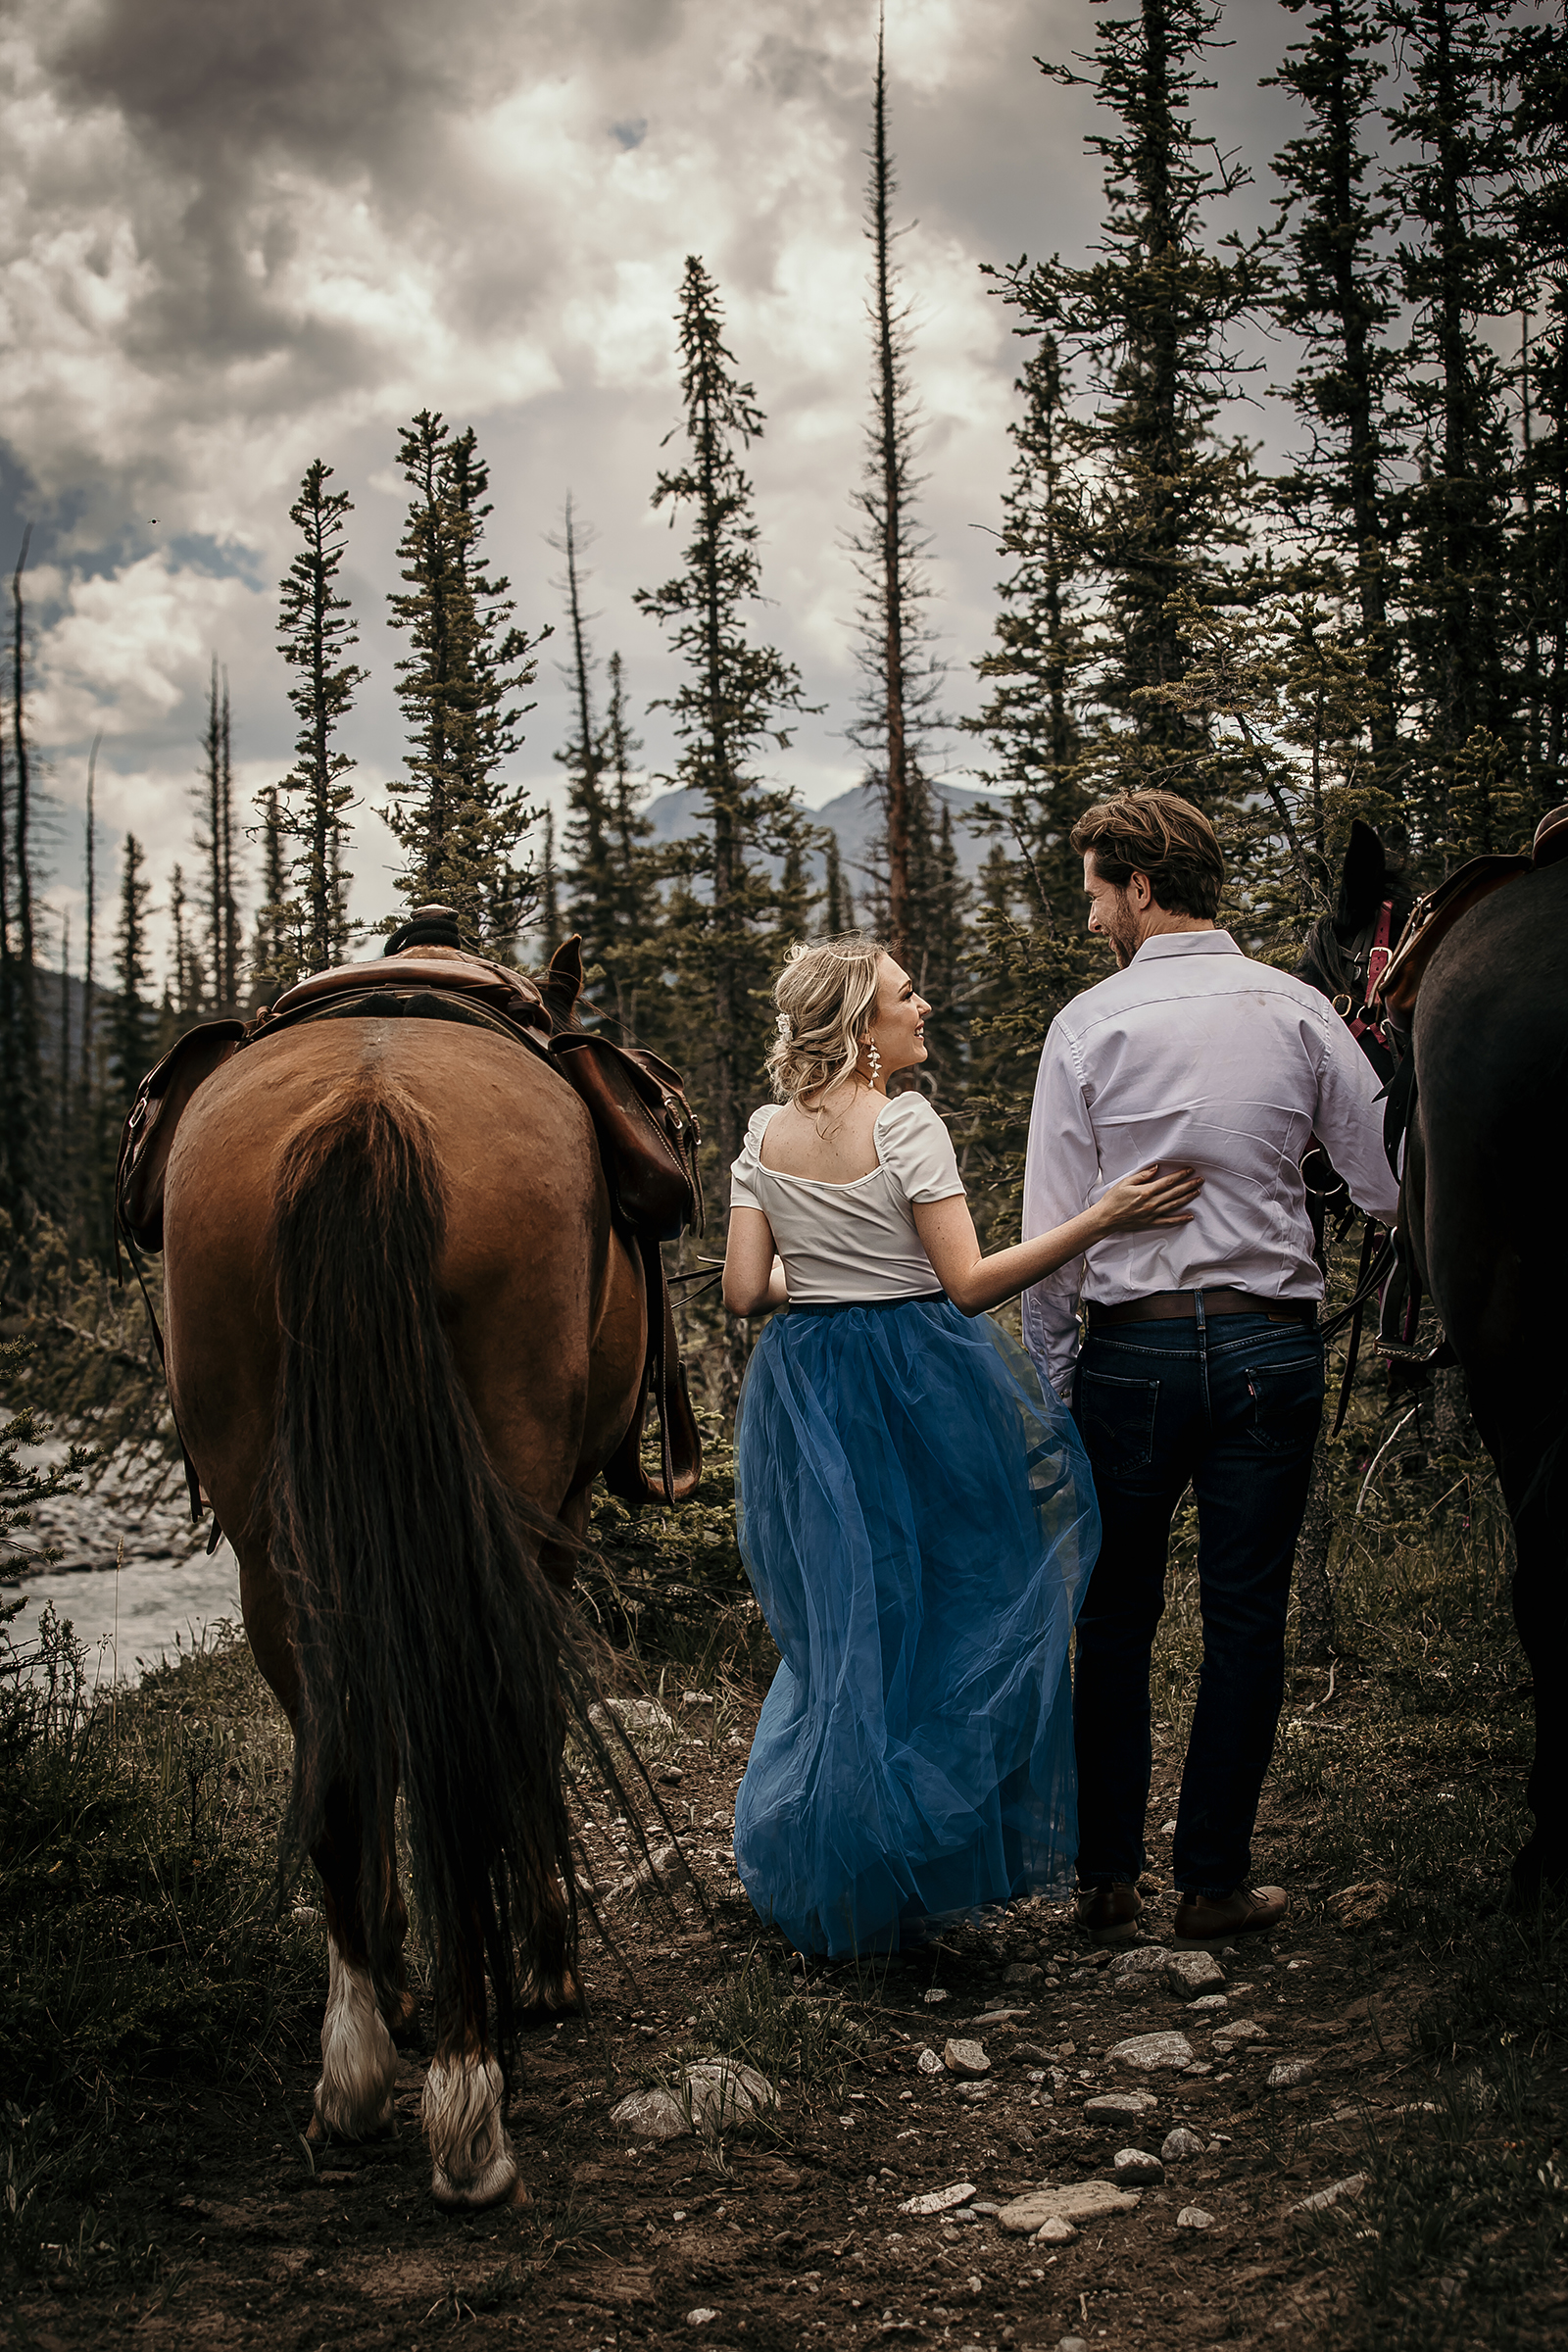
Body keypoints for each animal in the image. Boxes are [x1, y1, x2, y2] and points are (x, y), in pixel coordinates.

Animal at [161, 968, 649, 2201]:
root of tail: (364, 1111)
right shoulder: (554, 1523)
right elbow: (528, 1731)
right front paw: (547, 1961)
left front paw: (391, 1978)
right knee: (466, 1744)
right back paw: (472, 2103)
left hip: (271, 1541)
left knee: (339, 1757)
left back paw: (356, 2071)